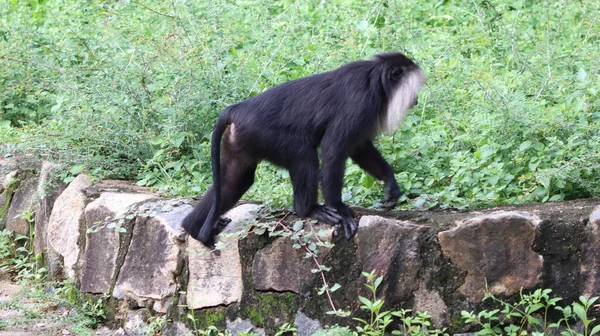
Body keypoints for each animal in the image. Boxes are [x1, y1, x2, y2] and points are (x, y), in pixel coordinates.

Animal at [183, 51, 426, 247]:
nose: (416, 100)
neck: (374, 79)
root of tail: (236, 109)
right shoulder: (359, 103)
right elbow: (333, 149)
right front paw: (338, 209)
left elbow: (360, 148)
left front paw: (390, 184)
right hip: (263, 134)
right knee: (303, 154)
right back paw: (308, 210)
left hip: (240, 140)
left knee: (233, 181)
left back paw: (192, 227)